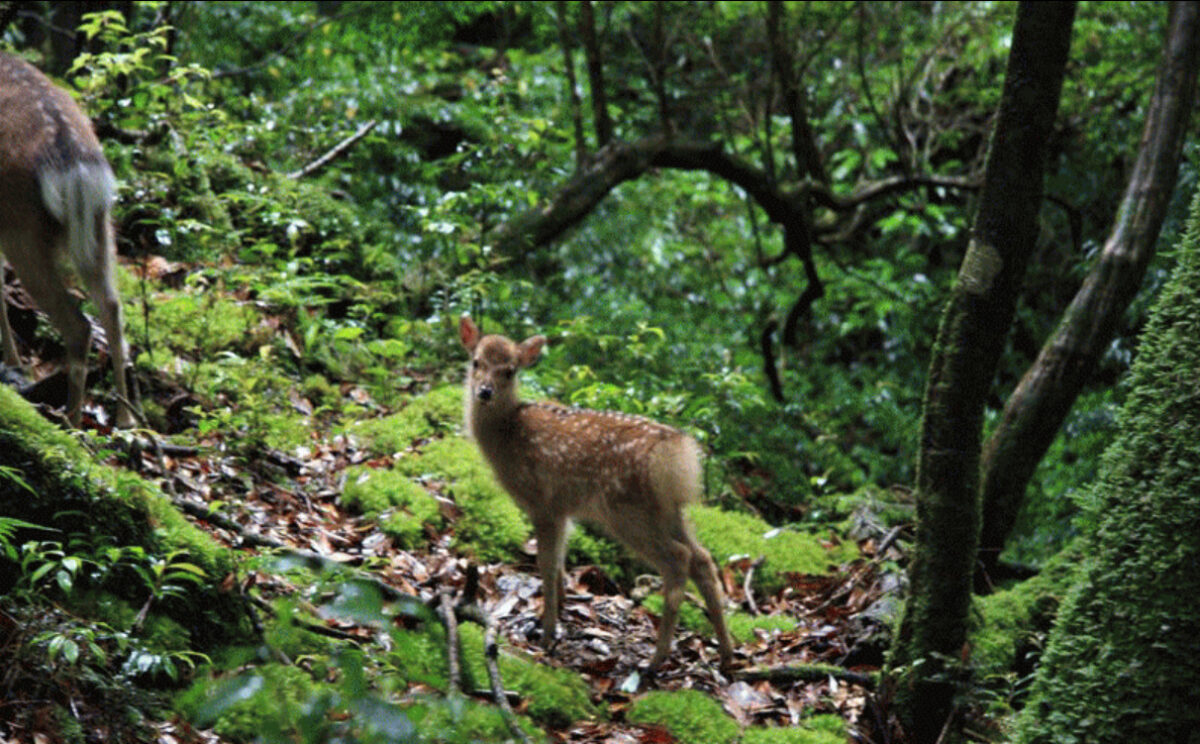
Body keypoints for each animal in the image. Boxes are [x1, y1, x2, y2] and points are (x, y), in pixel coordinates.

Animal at [0, 52, 135, 427]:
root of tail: (74, 164)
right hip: (101, 226)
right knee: (113, 308)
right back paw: (125, 419)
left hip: (21, 229)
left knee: (79, 325)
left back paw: (72, 423)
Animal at [458, 316, 734, 672]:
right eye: (476, 362)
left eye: (510, 370)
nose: (484, 392)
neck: (507, 433)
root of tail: (675, 455)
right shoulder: (562, 509)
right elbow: (560, 560)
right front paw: (555, 613)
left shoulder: (543, 502)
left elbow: (546, 563)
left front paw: (547, 633)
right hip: (670, 511)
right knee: (702, 558)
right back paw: (727, 654)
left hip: (627, 511)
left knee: (679, 559)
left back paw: (655, 660)